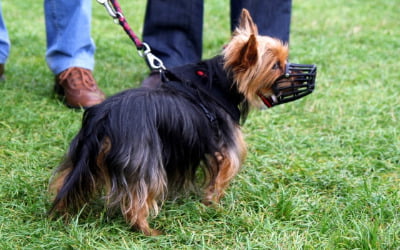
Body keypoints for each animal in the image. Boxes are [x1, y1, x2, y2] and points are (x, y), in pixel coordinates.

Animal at [47, 9, 316, 236]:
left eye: (285, 60)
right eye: (276, 66)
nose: (308, 74)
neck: (220, 83)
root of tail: (104, 115)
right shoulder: (226, 152)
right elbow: (220, 180)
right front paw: (213, 205)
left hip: (81, 154)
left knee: (64, 181)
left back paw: (62, 211)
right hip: (145, 162)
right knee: (138, 200)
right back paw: (148, 230)